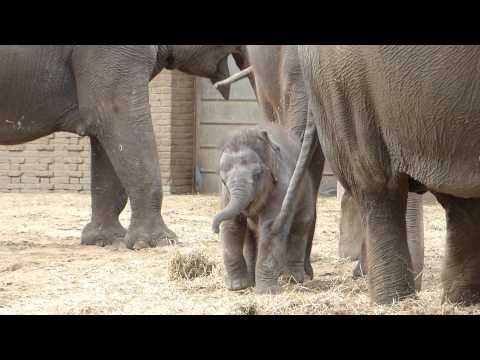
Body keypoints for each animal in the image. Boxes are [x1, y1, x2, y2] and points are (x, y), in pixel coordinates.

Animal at [212, 125, 316, 294]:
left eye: (257, 175)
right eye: (223, 180)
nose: (214, 229)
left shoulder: (280, 188)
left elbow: (270, 227)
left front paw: (266, 291)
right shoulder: (225, 194)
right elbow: (231, 226)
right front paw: (237, 287)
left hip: (304, 189)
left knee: (299, 227)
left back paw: (294, 279)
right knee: (249, 238)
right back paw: (252, 280)